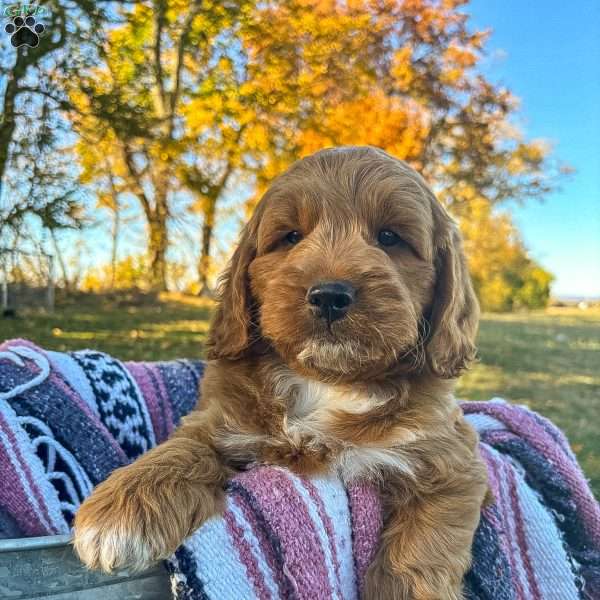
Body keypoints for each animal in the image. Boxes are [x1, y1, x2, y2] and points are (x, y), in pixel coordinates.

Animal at [74, 146, 488, 600]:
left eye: (390, 237)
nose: (329, 295)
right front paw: (121, 508)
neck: (326, 380)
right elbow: (183, 450)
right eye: (291, 237)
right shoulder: (219, 421)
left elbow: (419, 547)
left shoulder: (450, 462)